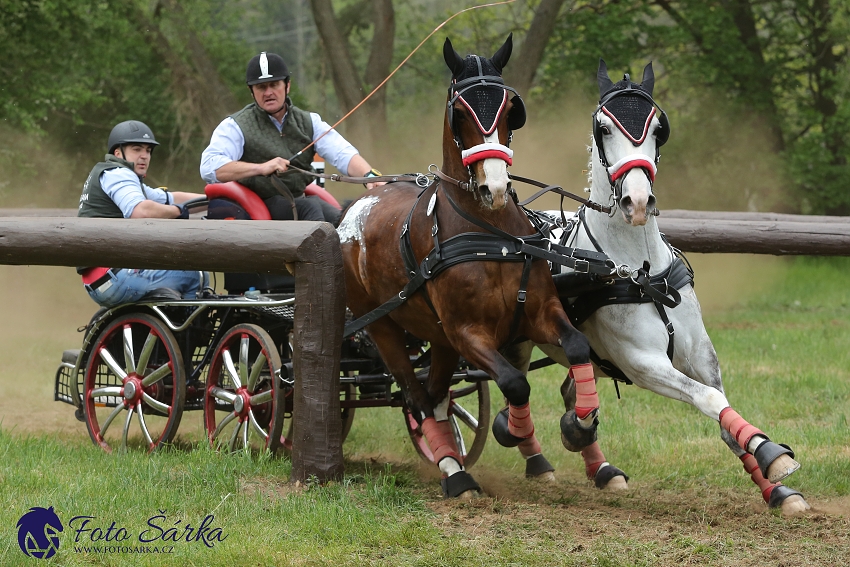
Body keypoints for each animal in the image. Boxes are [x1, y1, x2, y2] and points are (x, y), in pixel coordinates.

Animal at [338, 36, 604, 496]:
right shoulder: (467, 333)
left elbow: (575, 346)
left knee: (437, 396)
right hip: (384, 327)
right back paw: (454, 471)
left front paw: (581, 424)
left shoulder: (538, 313)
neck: (489, 234)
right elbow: (515, 382)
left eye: (510, 108)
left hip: (438, 339)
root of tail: (358, 204)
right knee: (418, 398)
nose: (493, 187)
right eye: (460, 112)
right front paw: (513, 431)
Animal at [506, 61, 804, 516]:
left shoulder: (700, 351)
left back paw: (600, 467)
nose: (638, 202)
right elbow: (709, 400)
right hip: (517, 339)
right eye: (603, 127)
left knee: (568, 389)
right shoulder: (642, 362)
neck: (642, 273)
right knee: (509, 390)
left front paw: (773, 478)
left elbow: (723, 413)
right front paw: (771, 455)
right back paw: (532, 457)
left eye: (658, 128)